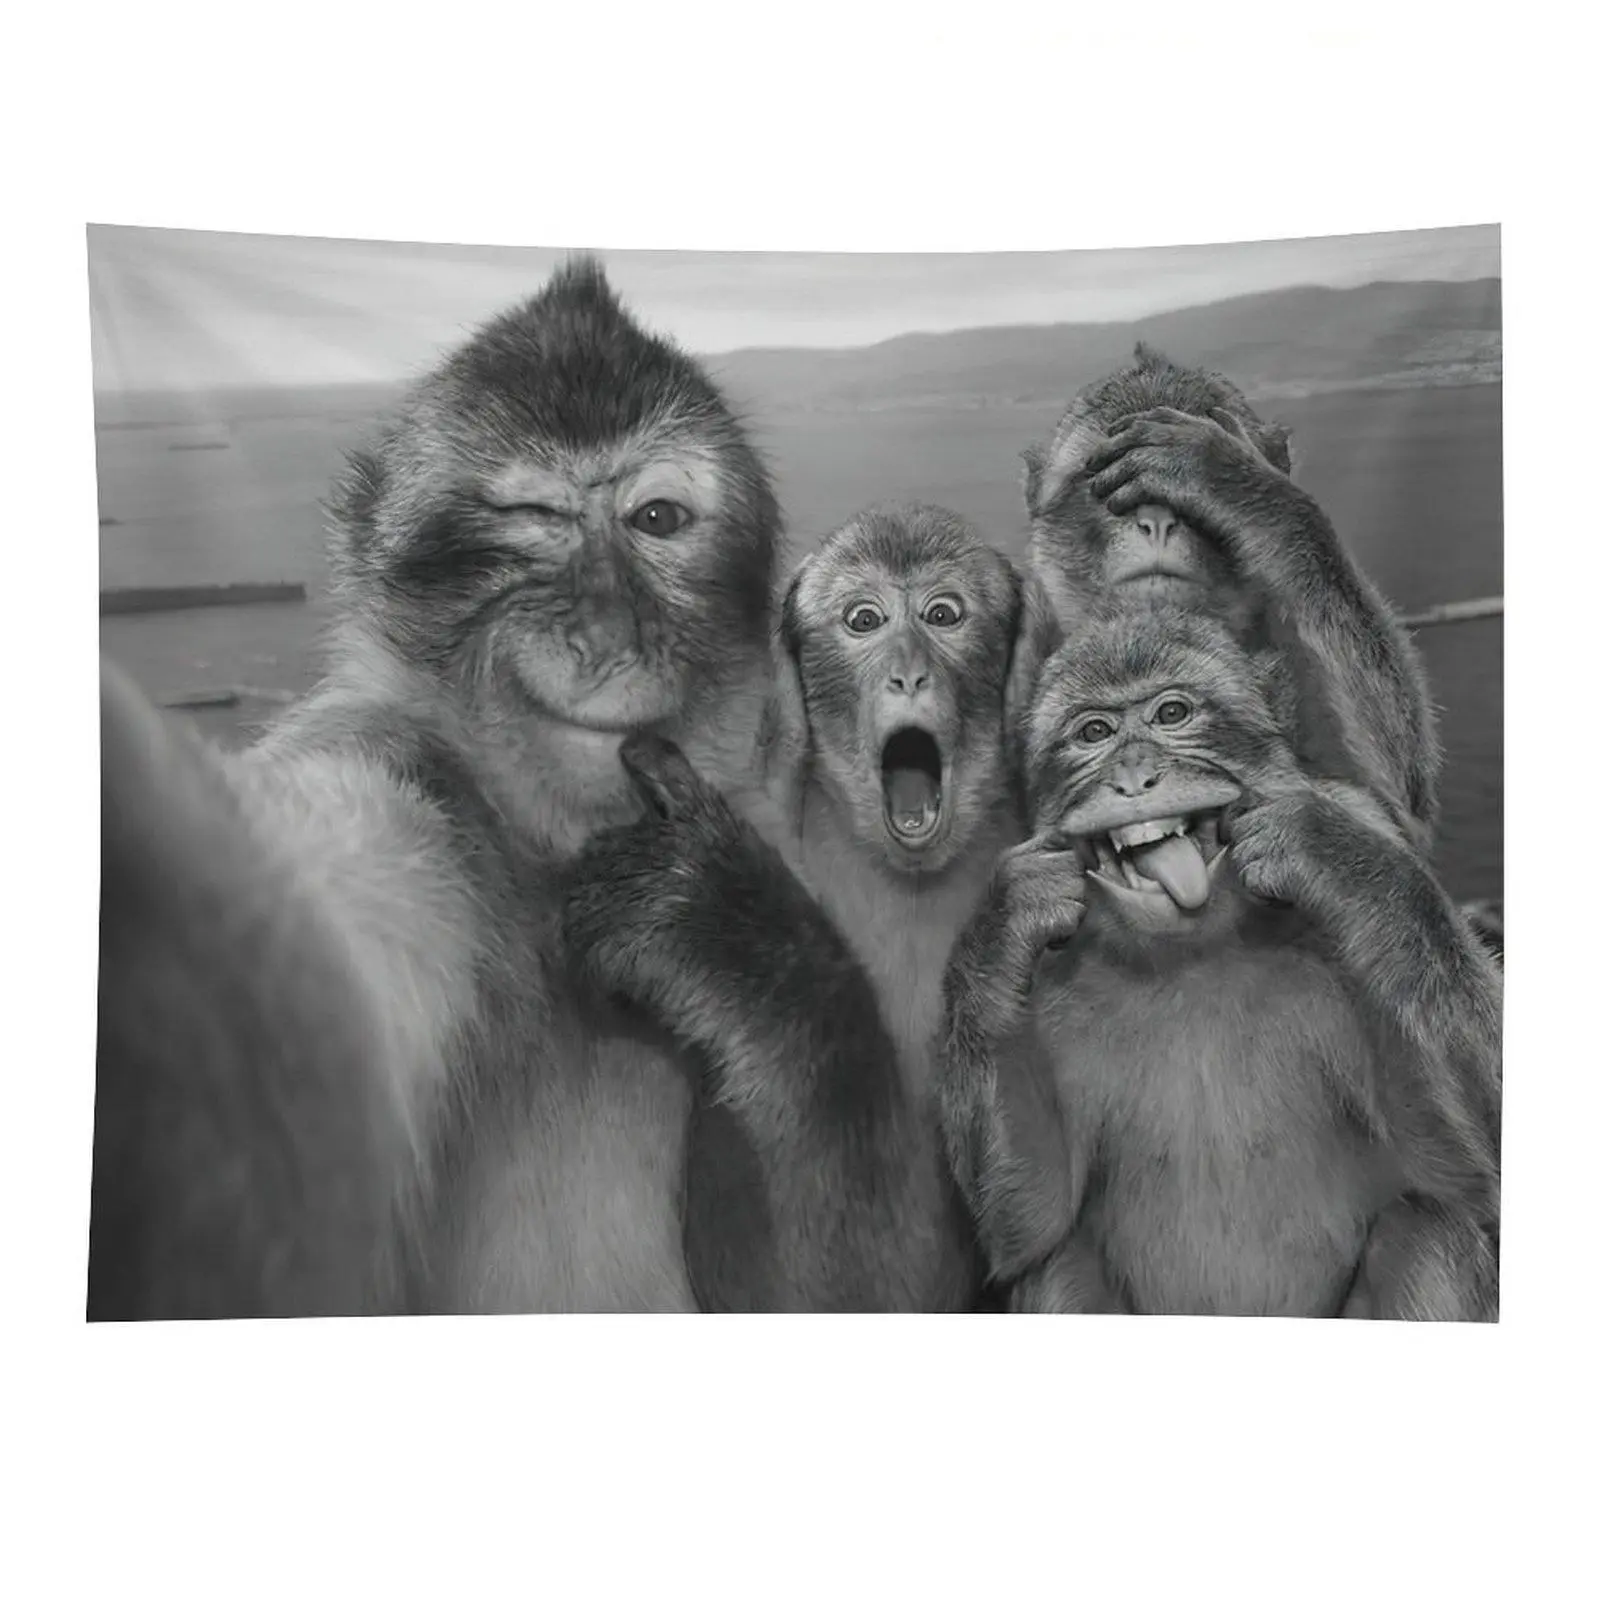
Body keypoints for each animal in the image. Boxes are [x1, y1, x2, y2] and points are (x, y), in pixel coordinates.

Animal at [91, 260, 954, 1316]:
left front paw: (733, 933)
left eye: (657, 520)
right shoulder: (387, 772)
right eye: (535, 525)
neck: (547, 855)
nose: (606, 634)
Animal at [936, 606, 1501, 1318]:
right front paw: (1007, 918)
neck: (1196, 950)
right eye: (1094, 732)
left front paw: (1323, 849)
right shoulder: (1040, 971)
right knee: (1057, 1268)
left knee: (1431, 1230)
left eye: (1173, 713)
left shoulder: (1371, 819)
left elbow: (1468, 1175)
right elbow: (1028, 1225)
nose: (1133, 778)